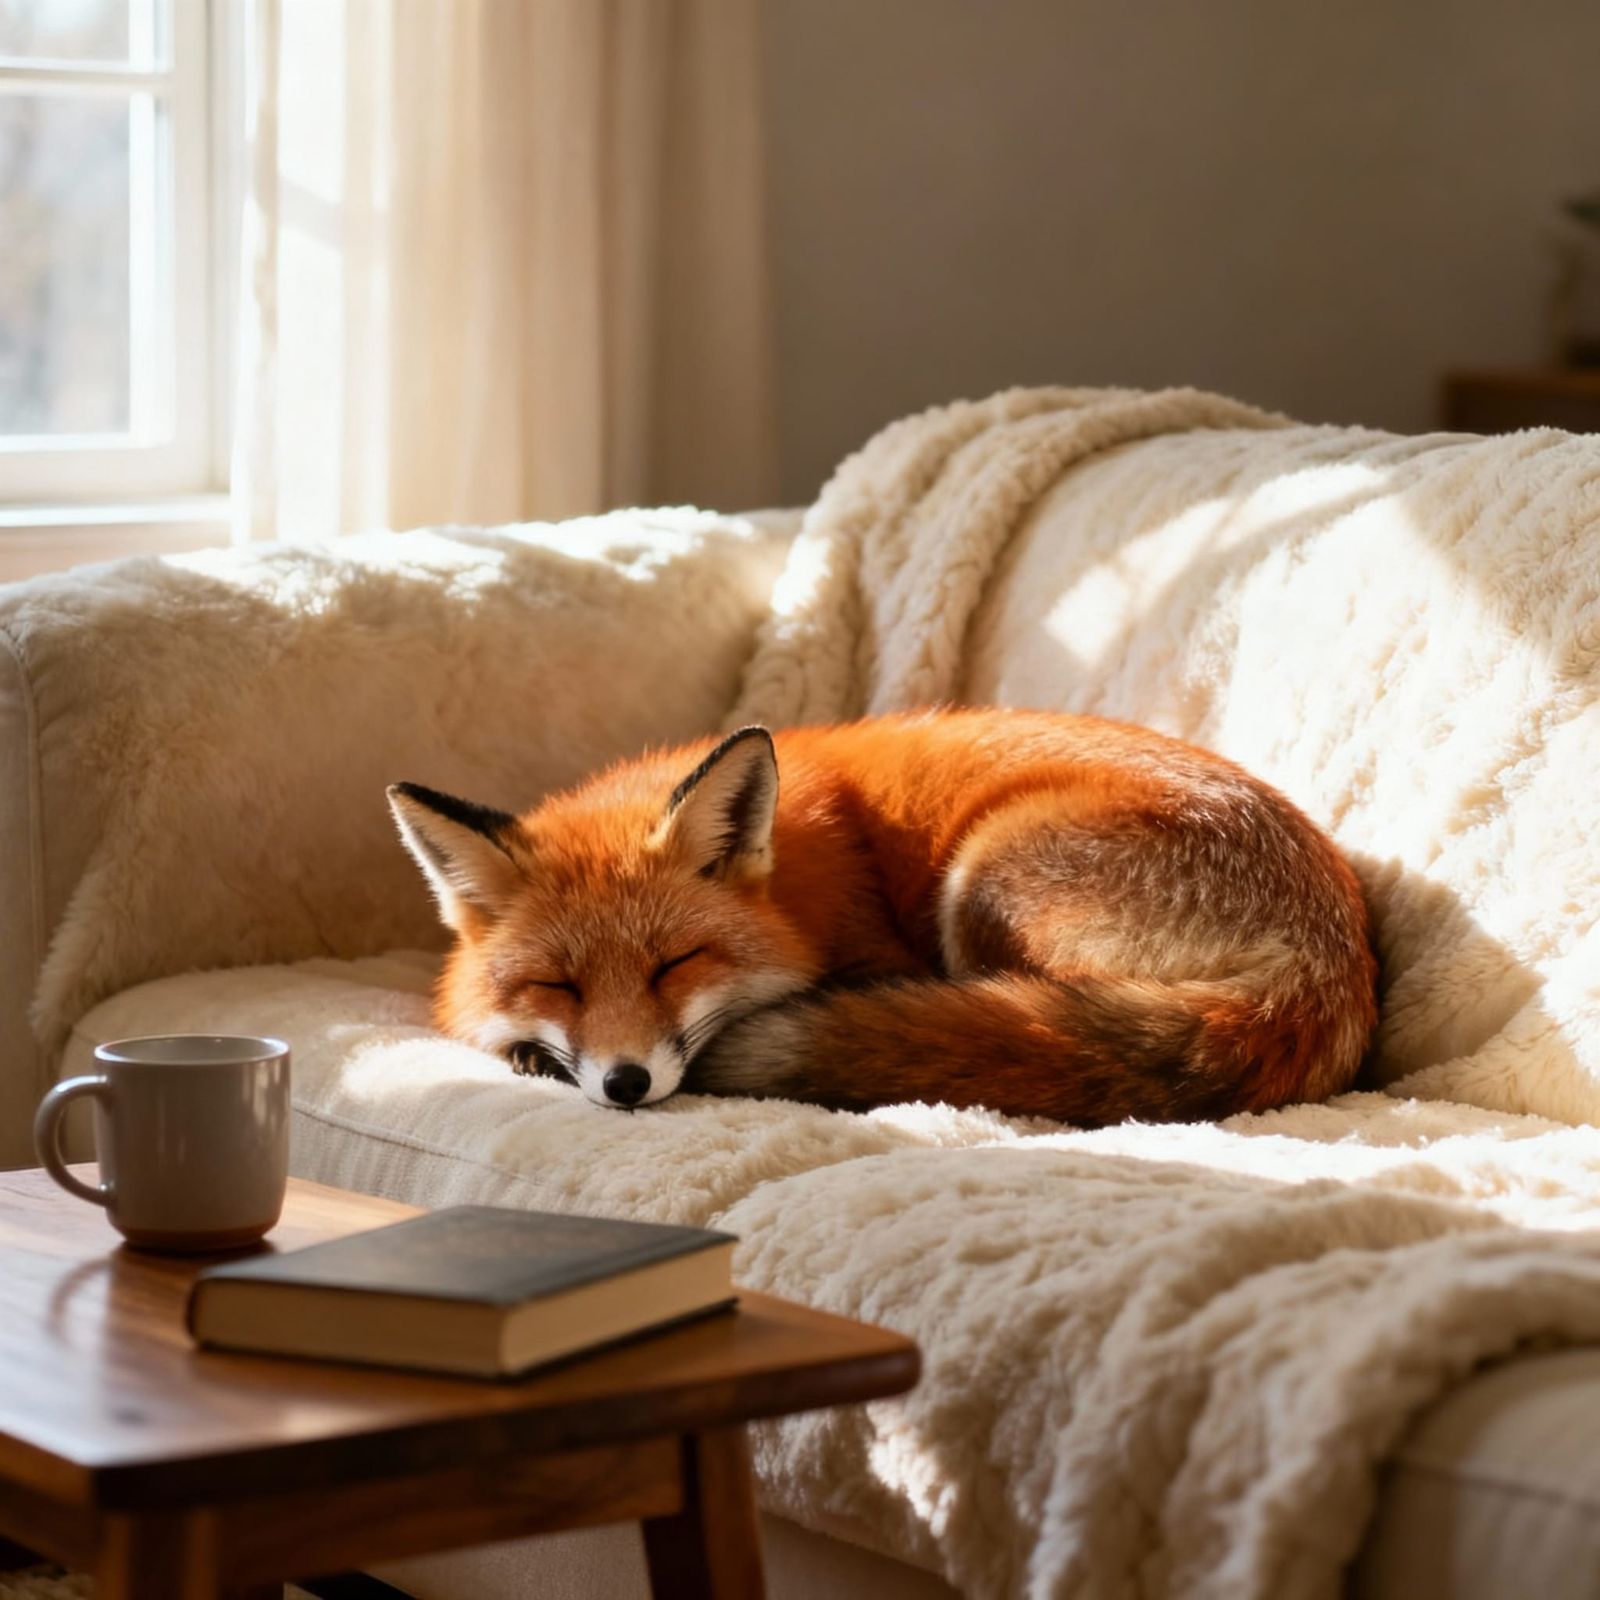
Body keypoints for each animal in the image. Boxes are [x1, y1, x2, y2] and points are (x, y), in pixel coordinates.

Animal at [386, 708, 1378, 1123]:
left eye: (677, 964)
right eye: (560, 985)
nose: (625, 1085)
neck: (802, 882)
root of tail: (1323, 968)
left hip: (982, 879)